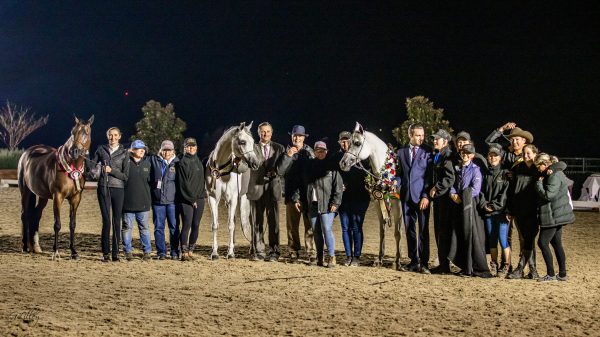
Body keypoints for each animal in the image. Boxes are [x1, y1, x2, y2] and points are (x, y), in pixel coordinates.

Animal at [18, 115, 95, 260]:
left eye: (86, 133)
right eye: (72, 132)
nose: (74, 151)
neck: (72, 166)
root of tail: (27, 153)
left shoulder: (76, 198)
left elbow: (72, 224)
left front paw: (74, 252)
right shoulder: (57, 196)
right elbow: (57, 224)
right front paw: (56, 252)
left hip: (42, 196)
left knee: (36, 215)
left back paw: (36, 247)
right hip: (25, 192)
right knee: (24, 214)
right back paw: (25, 246)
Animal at [205, 122, 258, 258]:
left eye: (252, 141)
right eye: (243, 142)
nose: (255, 164)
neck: (221, 170)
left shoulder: (233, 199)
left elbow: (230, 225)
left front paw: (230, 253)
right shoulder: (212, 198)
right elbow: (215, 225)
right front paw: (214, 252)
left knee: (251, 223)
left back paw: (251, 249)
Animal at [338, 122, 404, 266]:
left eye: (357, 143)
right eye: (348, 142)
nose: (343, 163)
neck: (387, 173)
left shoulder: (398, 204)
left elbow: (397, 232)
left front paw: (397, 261)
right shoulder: (377, 203)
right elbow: (382, 230)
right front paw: (379, 258)